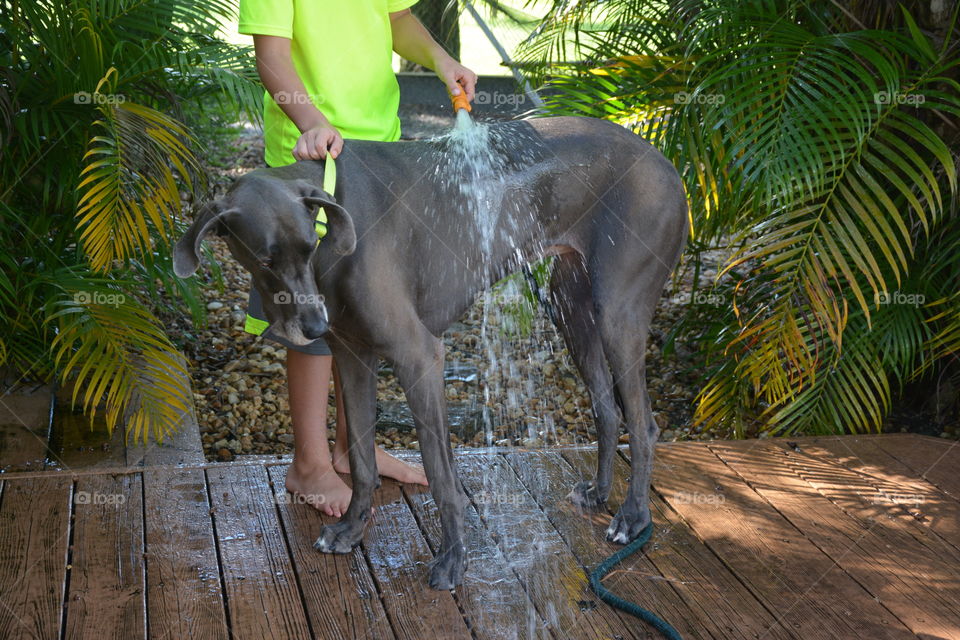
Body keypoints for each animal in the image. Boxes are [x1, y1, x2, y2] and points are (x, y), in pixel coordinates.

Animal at [174, 116, 688, 592]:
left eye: (309, 246)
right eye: (265, 259)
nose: (315, 326)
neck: (334, 211)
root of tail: (667, 163)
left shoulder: (419, 356)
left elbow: (441, 473)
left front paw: (453, 558)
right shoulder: (352, 356)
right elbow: (361, 458)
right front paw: (352, 529)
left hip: (617, 312)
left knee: (643, 423)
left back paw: (633, 517)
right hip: (571, 308)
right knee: (608, 409)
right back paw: (600, 493)